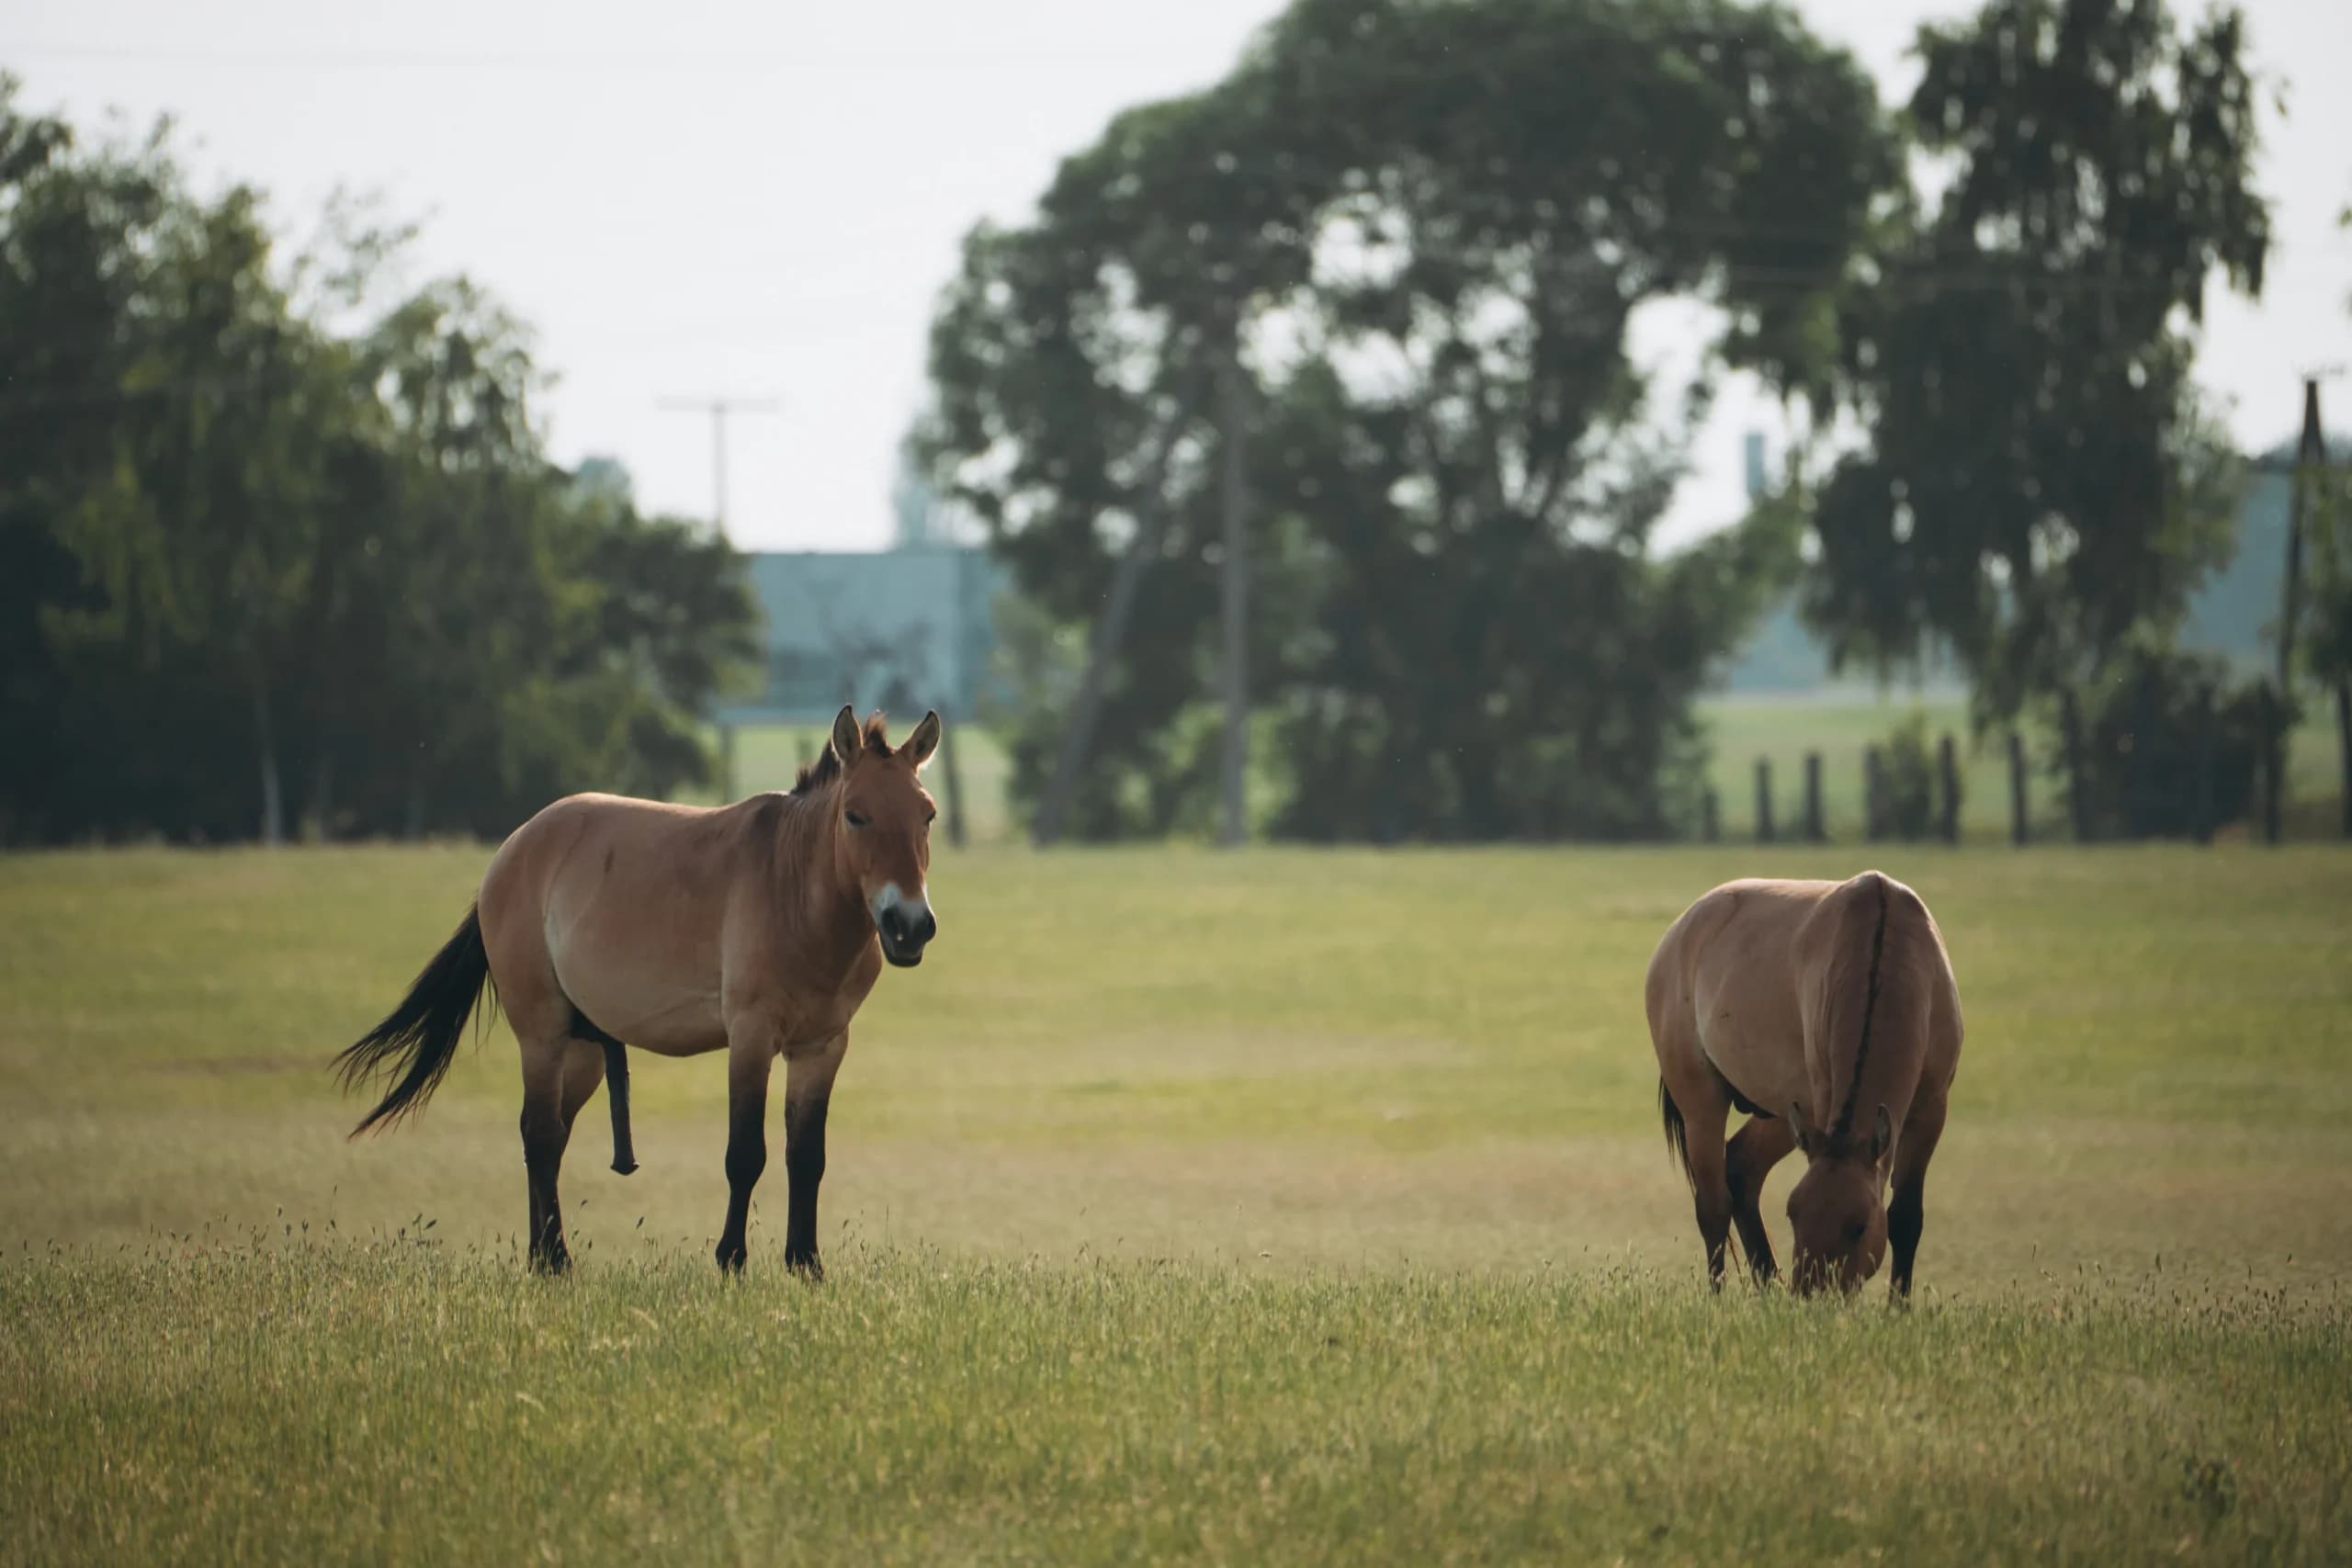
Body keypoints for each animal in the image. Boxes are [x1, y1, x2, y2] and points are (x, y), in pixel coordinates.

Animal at [334, 705, 943, 1278]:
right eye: (855, 815)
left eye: (928, 816)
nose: (909, 926)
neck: (793, 889)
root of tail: (512, 850)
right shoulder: (751, 1037)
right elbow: (746, 1154)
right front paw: (731, 1259)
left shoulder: (822, 1046)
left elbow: (806, 1156)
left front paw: (806, 1264)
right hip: (541, 1035)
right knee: (539, 1134)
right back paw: (556, 1260)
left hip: (582, 1050)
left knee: (549, 1136)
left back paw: (540, 1256)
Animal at [1645, 869, 1962, 1298]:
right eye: (1793, 1215)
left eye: (1858, 1226)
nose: (1810, 1294)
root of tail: (1681, 929)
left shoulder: (1930, 1110)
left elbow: (1906, 1217)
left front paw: (1899, 1305)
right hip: (1702, 1103)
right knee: (1713, 1206)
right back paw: (1719, 1297)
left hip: (1782, 1114)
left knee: (1742, 1168)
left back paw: (1767, 1285)